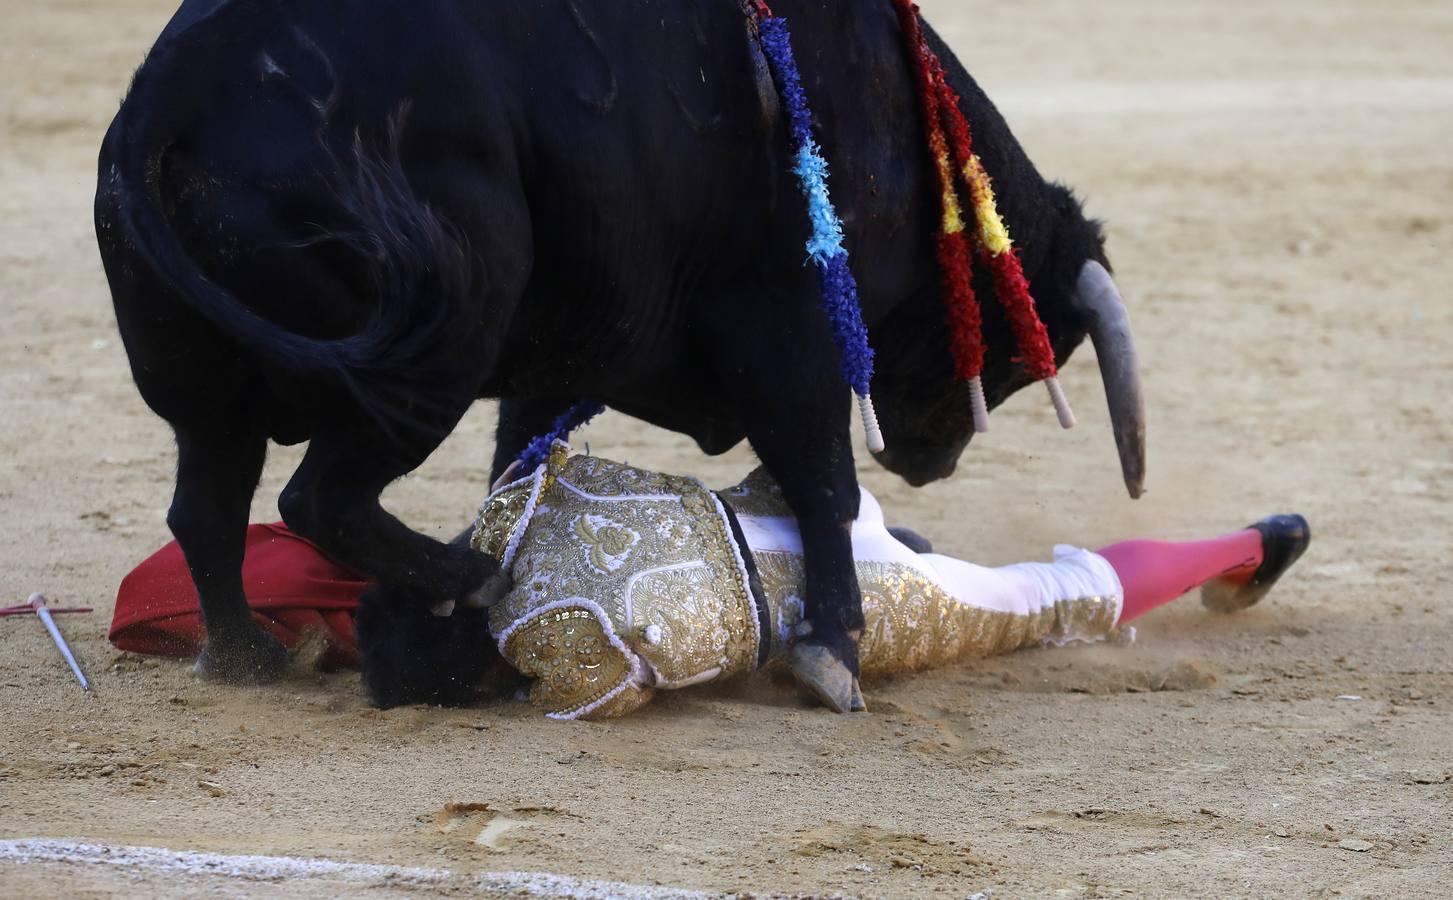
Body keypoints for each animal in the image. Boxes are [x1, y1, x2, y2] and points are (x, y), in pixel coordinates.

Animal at [96, 0, 1150, 703]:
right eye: (1011, 360)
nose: (935, 460)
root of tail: (172, 96)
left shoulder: (564, 355)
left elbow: (519, 454)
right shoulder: (789, 332)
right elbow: (822, 482)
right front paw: (835, 649)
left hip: (206, 392)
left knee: (207, 508)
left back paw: (247, 656)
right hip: (432, 349)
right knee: (318, 497)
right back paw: (467, 582)